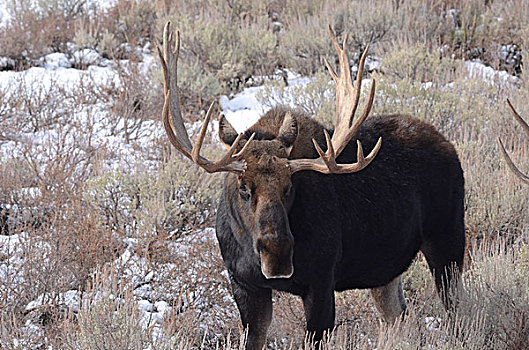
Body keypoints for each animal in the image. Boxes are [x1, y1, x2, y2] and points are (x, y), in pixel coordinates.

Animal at [155, 23, 464, 348]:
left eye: (289, 187)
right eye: (243, 187)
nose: (277, 254)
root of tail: (449, 146)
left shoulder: (321, 281)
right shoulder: (243, 283)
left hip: (447, 241)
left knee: (458, 311)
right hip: (387, 270)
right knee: (398, 316)